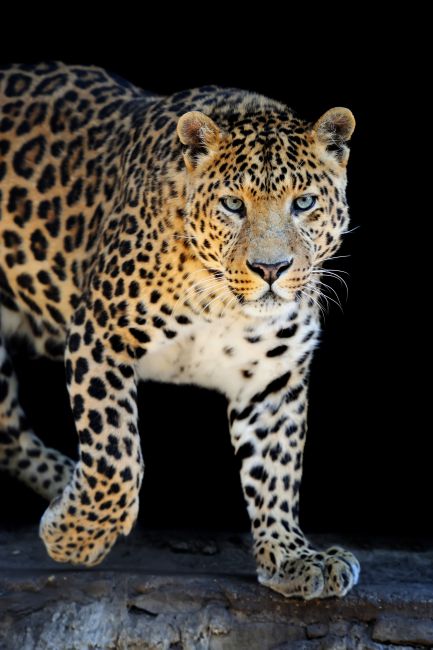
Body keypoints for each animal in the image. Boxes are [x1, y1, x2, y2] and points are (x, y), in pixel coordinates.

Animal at [0, 61, 359, 599]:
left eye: (304, 203)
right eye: (232, 204)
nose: (270, 269)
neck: (224, 305)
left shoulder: (272, 377)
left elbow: (276, 469)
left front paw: (291, 556)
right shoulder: (100, 332)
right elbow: (117, 459)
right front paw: (75, 539)